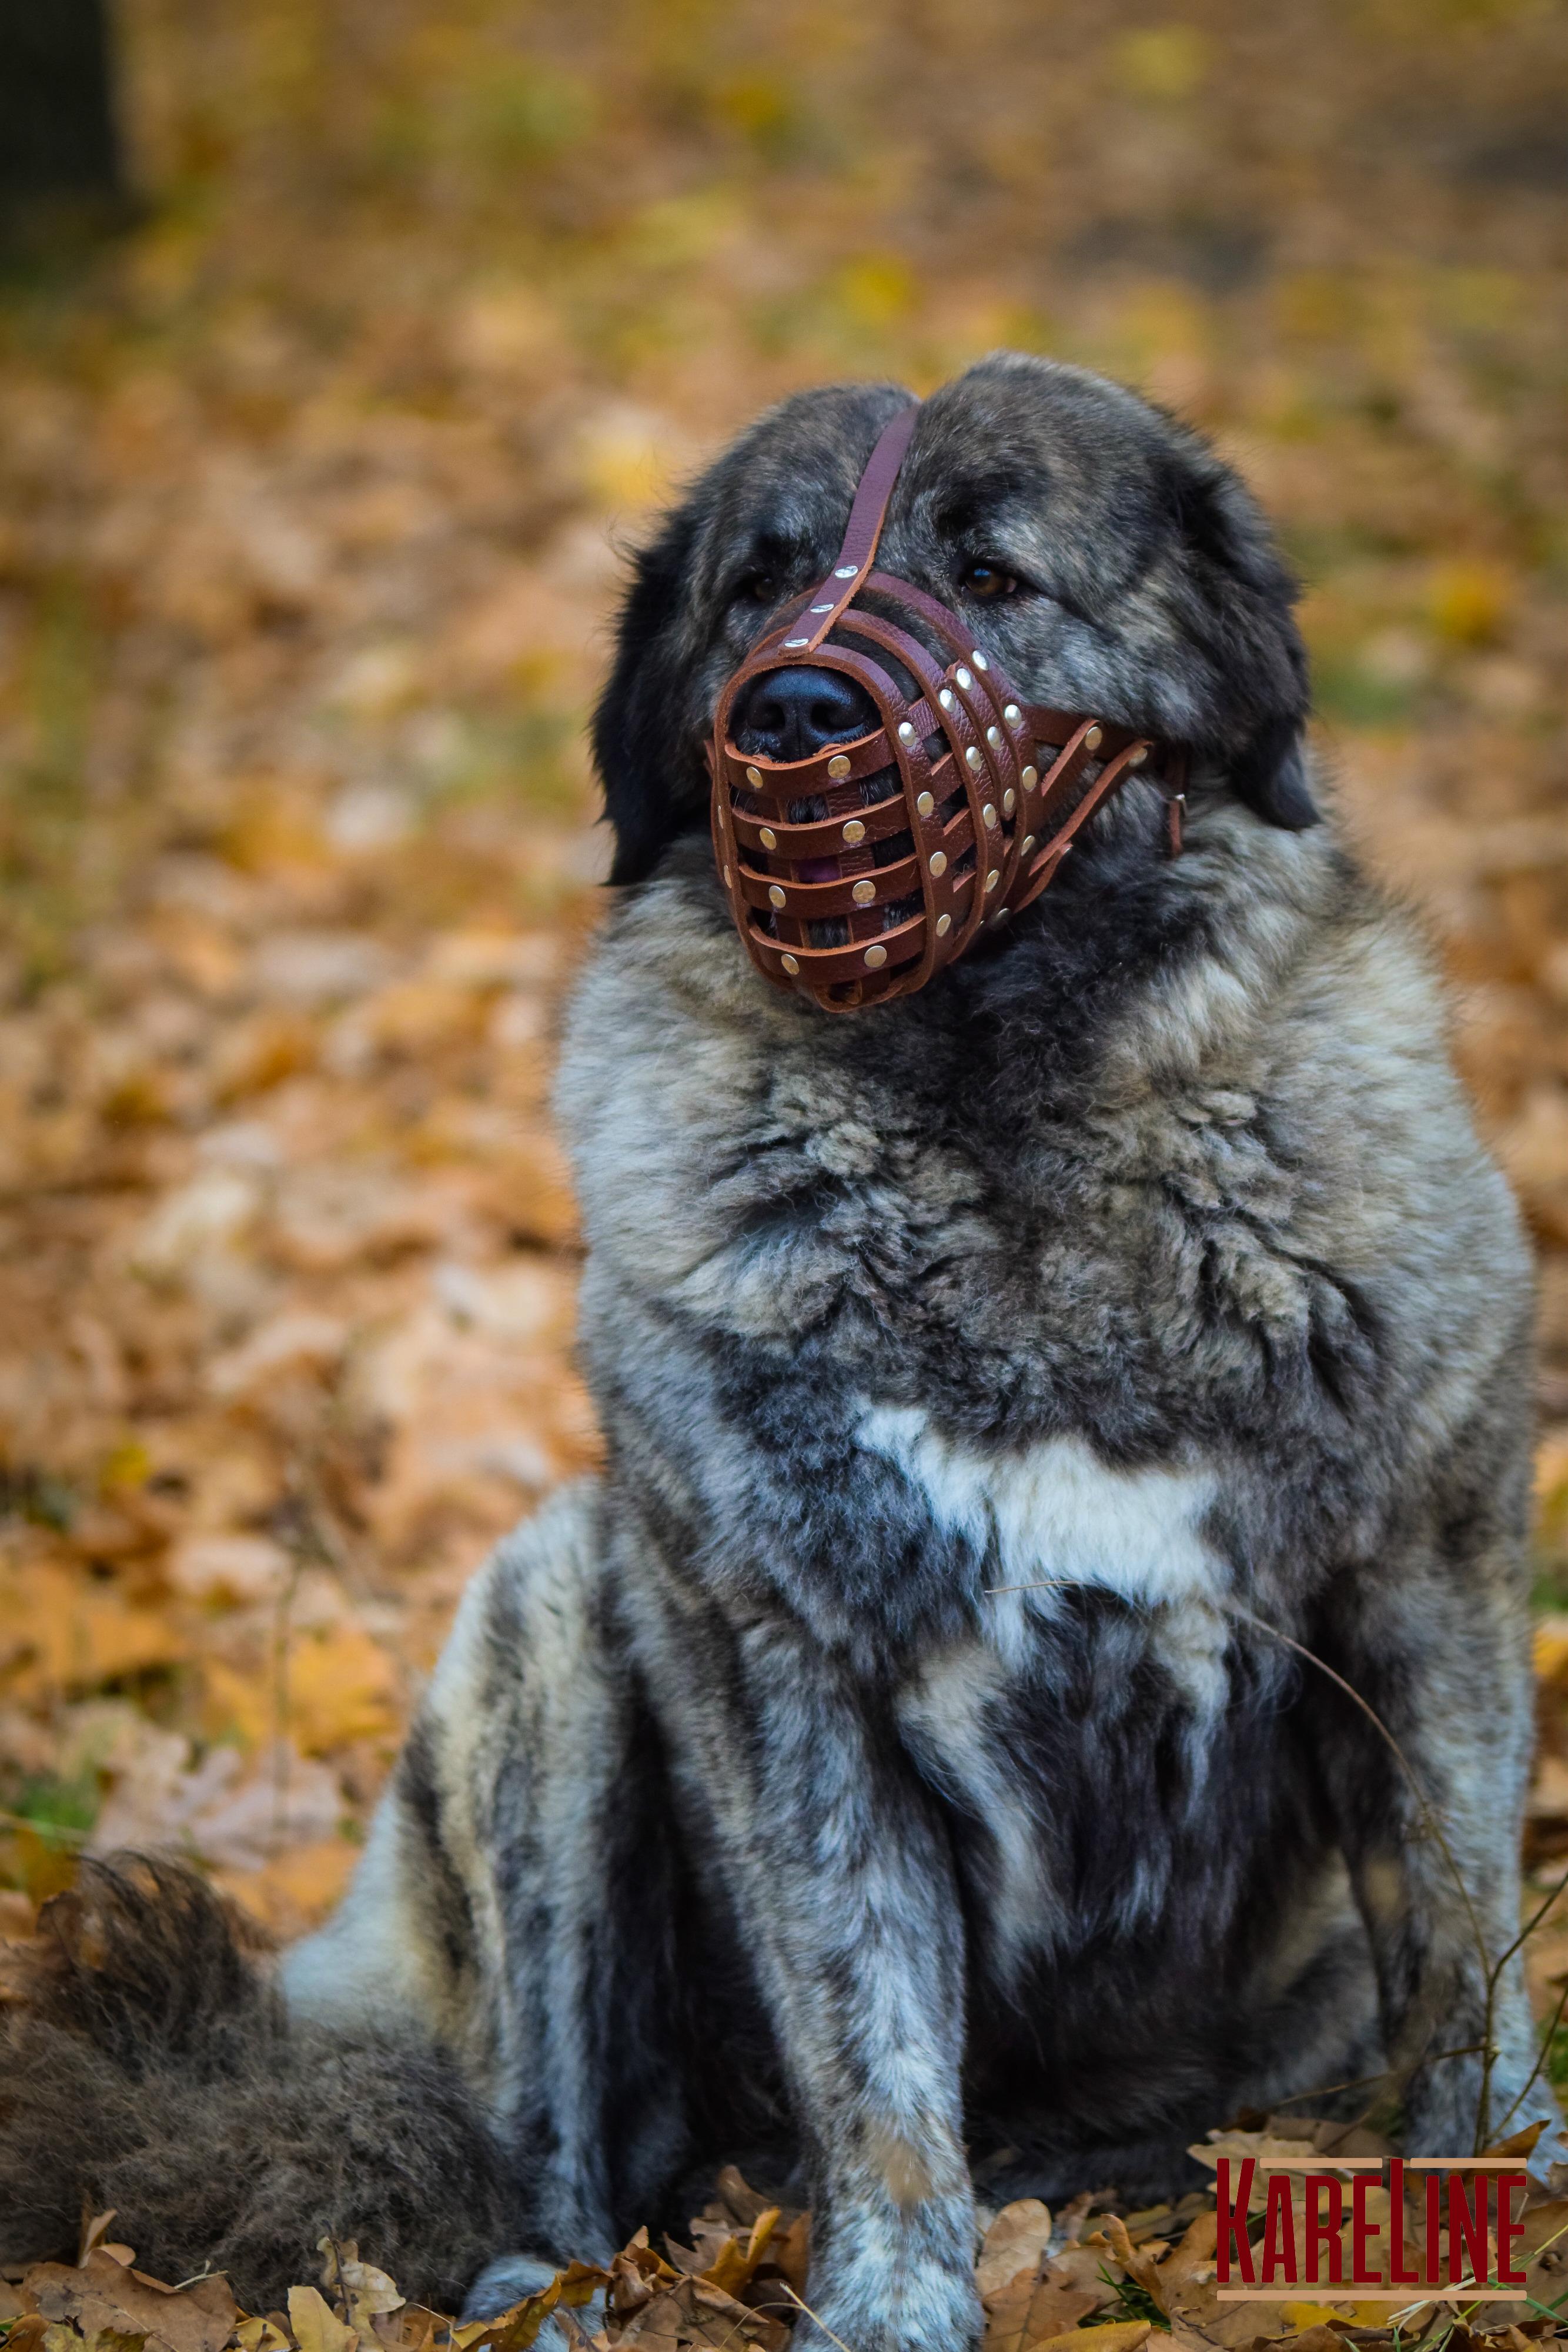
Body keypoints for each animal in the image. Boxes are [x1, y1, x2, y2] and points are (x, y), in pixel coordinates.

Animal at [0, 348, 1561, 2352]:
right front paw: (892, 2305)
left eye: (990, 573)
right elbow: (872, 2053)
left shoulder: (1422, 1588)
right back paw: (551, 2282)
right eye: (759, 581)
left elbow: (1465, 1949)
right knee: (552, 2134)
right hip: (553, 1632)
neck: (997, 1138)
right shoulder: (790, 1672)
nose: (798, 712)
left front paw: (1499, 2211)